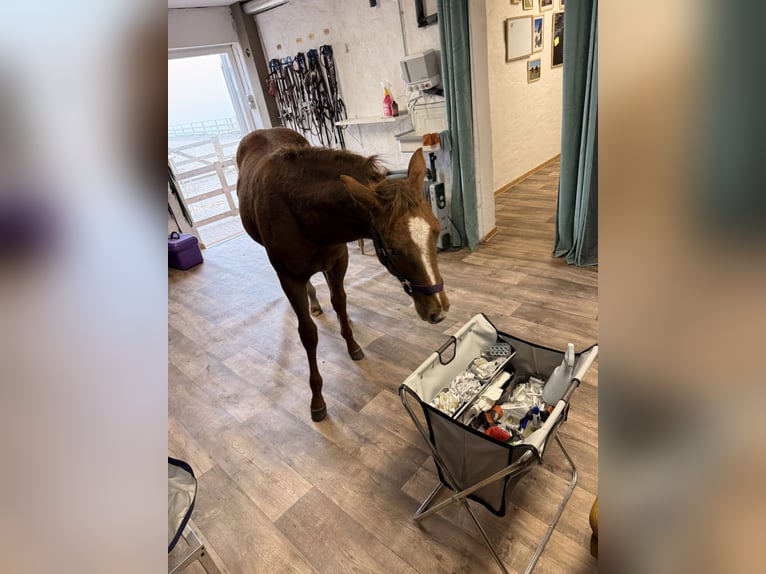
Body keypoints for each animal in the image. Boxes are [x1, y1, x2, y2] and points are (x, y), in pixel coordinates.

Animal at [236, 127, 450, 421]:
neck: (301, 210)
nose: (438, 310)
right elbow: (308, 333)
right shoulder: (288, 277)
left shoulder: (338, 261)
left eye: (436, 231)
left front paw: (352, 343)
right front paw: (317, 398)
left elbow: (339, 302)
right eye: (393, 250)